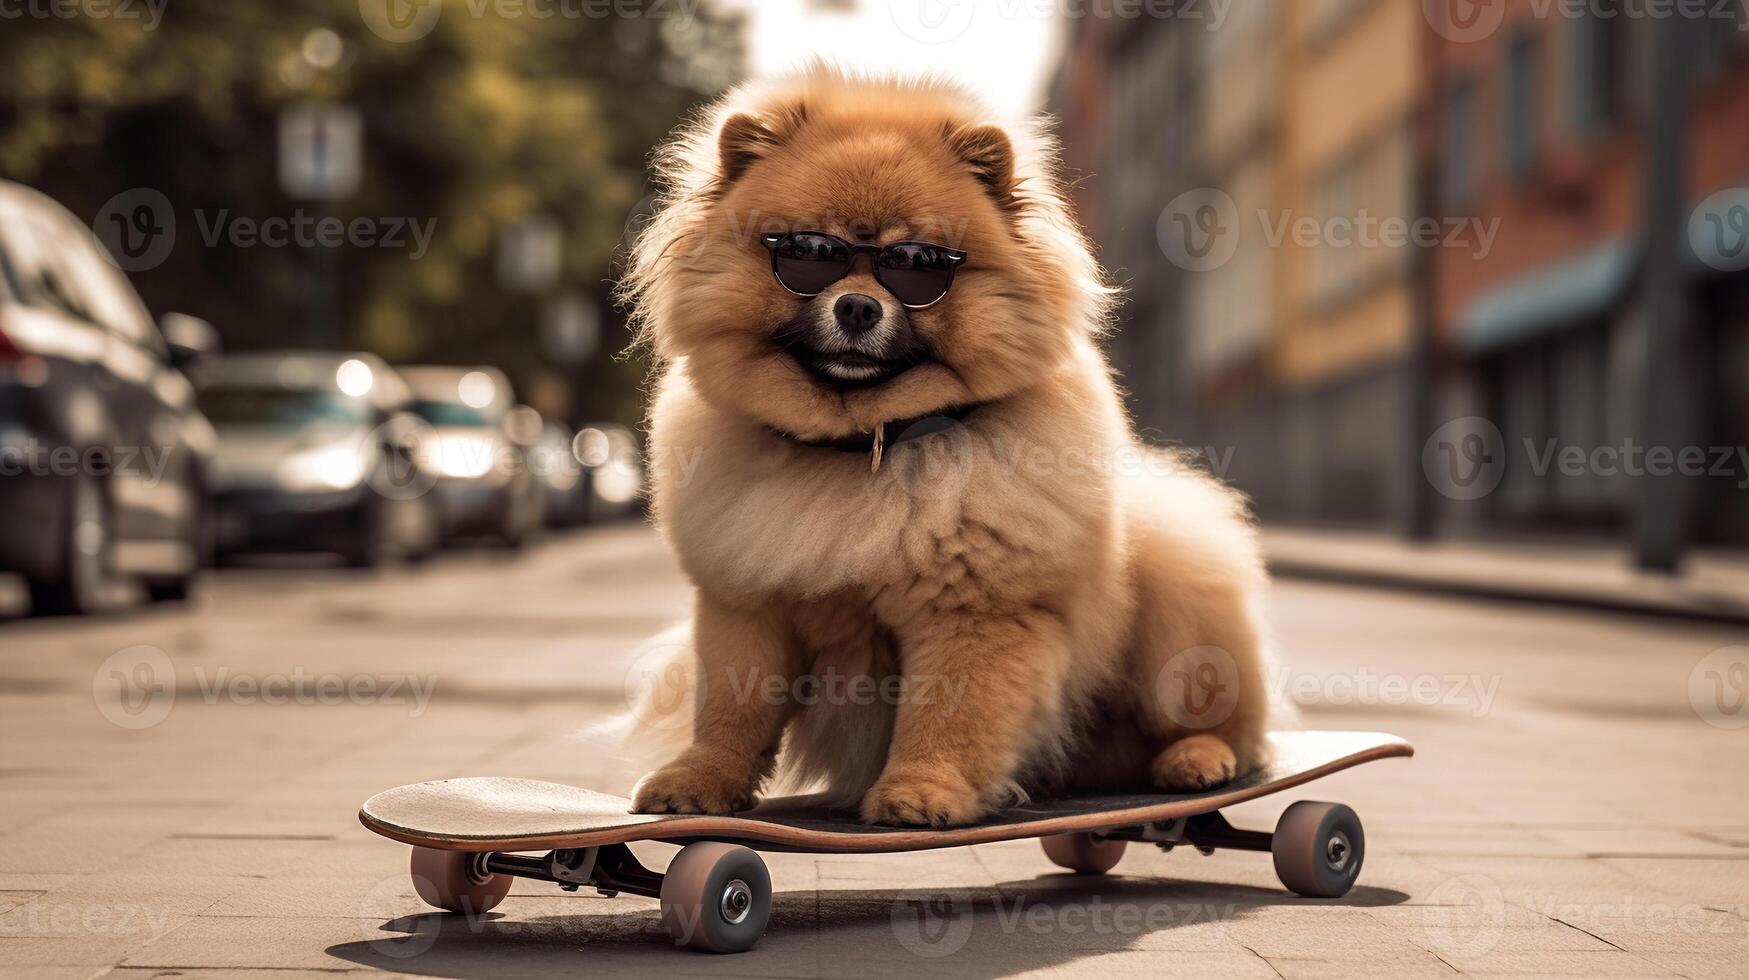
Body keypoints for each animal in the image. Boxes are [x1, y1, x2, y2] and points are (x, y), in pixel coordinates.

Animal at [619, 66, 1273, 826]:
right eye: (809, 254)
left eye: (917, 265)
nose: (857, 306)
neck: (862, 448)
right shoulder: (747, 606)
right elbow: (731, 707)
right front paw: (699, 780)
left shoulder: (972, 611)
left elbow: (946, 715)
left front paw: (921, 793)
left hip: (1175, 590)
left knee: (1224, 720)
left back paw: (1196, 759)